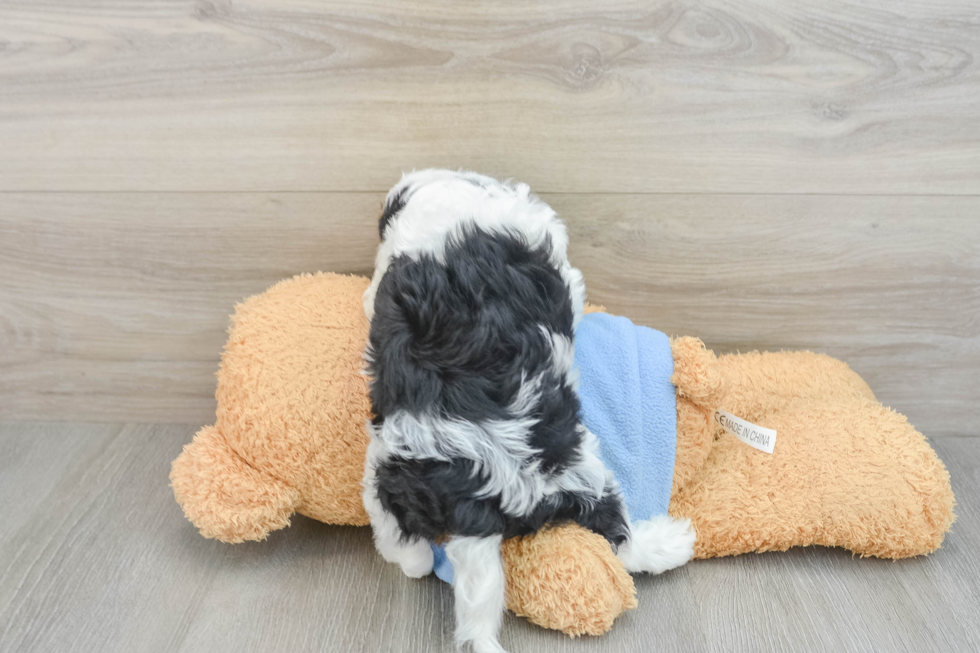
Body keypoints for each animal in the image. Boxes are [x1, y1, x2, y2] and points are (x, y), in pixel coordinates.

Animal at [362, 169, 696, 652]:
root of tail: (496, 480)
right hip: (582, 469)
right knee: (618, 530)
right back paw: (669, 544)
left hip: (392, 471)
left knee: (395, 532)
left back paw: (413, 555)